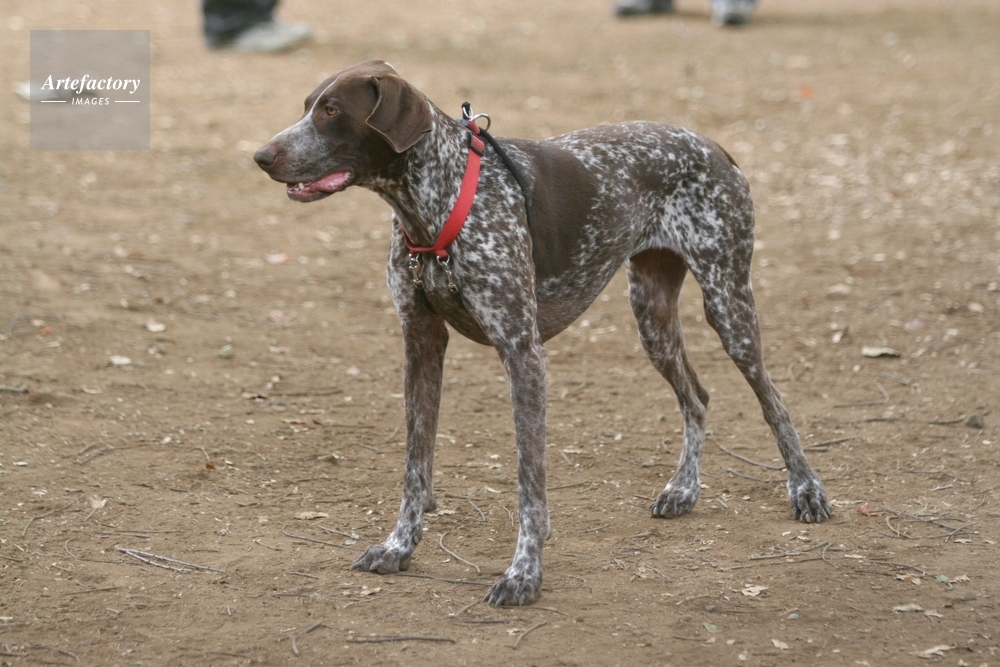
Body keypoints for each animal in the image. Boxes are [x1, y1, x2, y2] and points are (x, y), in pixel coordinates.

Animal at [254, 60, 831, 607]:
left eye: (332, 111)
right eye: (307, 106)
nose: (261, 155)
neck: (438, 202)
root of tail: (713, 146)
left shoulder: (522, 353)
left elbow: (529, 486)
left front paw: (523, 574)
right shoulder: (420, 345)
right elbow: (415, 467)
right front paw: (400, 546)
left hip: (728, 306)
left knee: (772, 401)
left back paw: (806, 490)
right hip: (652, 315)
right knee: (698, 396)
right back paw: (683, 490)